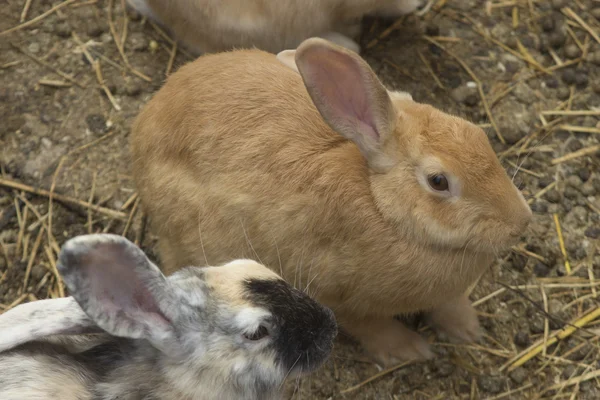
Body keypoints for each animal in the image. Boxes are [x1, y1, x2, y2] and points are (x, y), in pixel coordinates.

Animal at [130, 39, 528, 368]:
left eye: (479, 135)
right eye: (438, 181)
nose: (519, 223)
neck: (384, 207)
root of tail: (143, 130)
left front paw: (468, 329)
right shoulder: (338, 297)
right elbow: (371, 326)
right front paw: (410, 350)